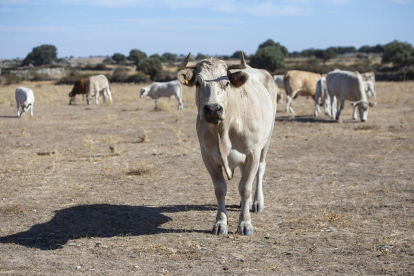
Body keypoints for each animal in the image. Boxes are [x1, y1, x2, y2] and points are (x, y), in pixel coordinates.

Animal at [176, 51, 276, 235]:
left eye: (227, 83)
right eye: (198, 83)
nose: (213, 109)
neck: (223, 131)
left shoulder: (253, 153)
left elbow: (245, 188)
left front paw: (245, 224)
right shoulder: (207, 157)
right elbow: (220, 190)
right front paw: (221, 223)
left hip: (267, 139)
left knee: (260, 170)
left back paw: (257, 202)